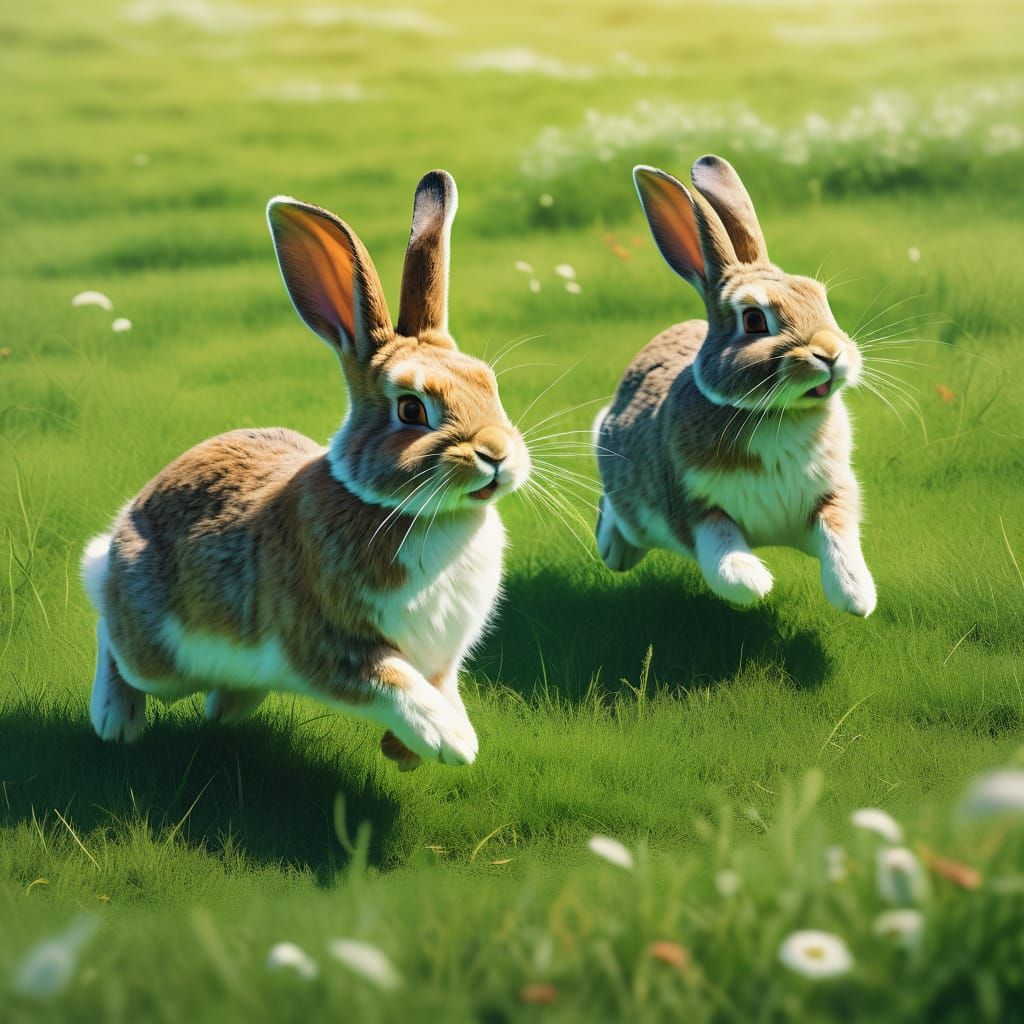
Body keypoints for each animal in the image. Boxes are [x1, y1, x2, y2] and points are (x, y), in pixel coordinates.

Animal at [81, 170, 531, 770]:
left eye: (488, 384)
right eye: (411, 409)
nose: (498, 454)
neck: (422, 513)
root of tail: (129, 519)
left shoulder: (441, 656)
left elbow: (439, 683)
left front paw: (411, 749)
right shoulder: (326, 640)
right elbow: (392, 681)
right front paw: (451, 740)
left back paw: (226, 704)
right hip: (156, 654)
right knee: (109, 625)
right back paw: (115, 719)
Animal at [594, 155, 876, 617]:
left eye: (819, 297)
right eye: (754, 320)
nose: (832, 355)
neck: (777, 414)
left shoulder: (832, 494)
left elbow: (838, 535)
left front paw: (856, 595)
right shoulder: (692, 505)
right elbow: (719, 542)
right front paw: (752, 582)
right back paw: (613, 552)